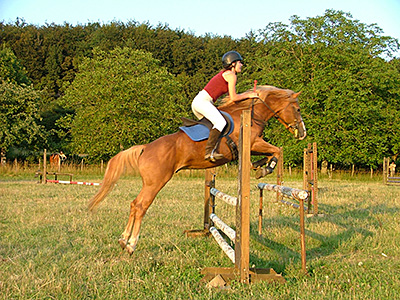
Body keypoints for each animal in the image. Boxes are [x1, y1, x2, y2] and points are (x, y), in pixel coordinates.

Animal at [87, 85, 306, 254]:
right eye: (297, 109)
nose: (302, 133)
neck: (251, 114)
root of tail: (145, 148)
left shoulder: (253, 146)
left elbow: (272, 152)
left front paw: (259, 166)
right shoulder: (253, 143)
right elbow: (277, 150)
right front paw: (266, 168)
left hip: (150, 183)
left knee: (134, 205)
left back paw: (123, 240)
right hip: (156, 182)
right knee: (140, 206)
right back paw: (131, 244)